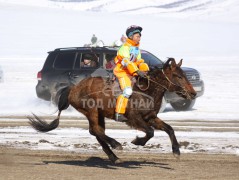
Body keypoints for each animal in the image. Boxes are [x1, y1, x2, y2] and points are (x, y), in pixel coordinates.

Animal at [28, 57, 196, 163]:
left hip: (99, 114)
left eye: (184, 75)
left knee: (96, 131)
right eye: (177, 76)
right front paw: (137, 141)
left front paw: (176, 151)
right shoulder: (134, 119)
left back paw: (113, 156)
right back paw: (116, 145)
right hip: (91, 111)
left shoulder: (150, 117)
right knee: (96, 130)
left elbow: (169, 128)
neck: (147, 90)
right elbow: (150, 132)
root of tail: (73, 88)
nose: (193, 93)